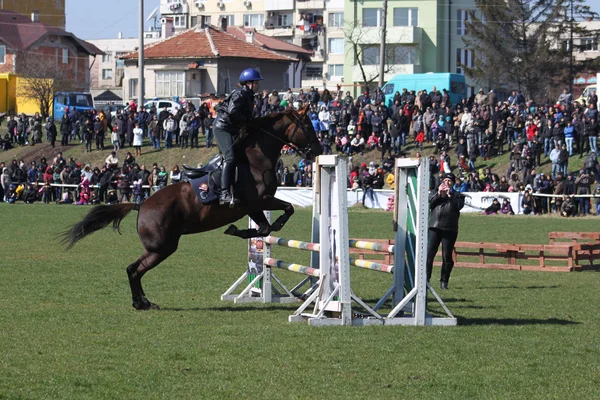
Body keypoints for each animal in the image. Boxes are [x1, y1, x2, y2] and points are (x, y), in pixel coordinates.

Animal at [62, 104, 322, 310]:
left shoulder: (253, 207)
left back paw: (143, 302)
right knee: (135, 269)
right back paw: (142, 302)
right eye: (309, 126)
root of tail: (141, 204)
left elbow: (266, 228)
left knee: (132, 269)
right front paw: (245, 229)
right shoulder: (258, 201)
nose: (319, 150)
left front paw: (238, 231)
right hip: (162, 247)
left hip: (159, 247)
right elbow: (286, 211)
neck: (257, 159)